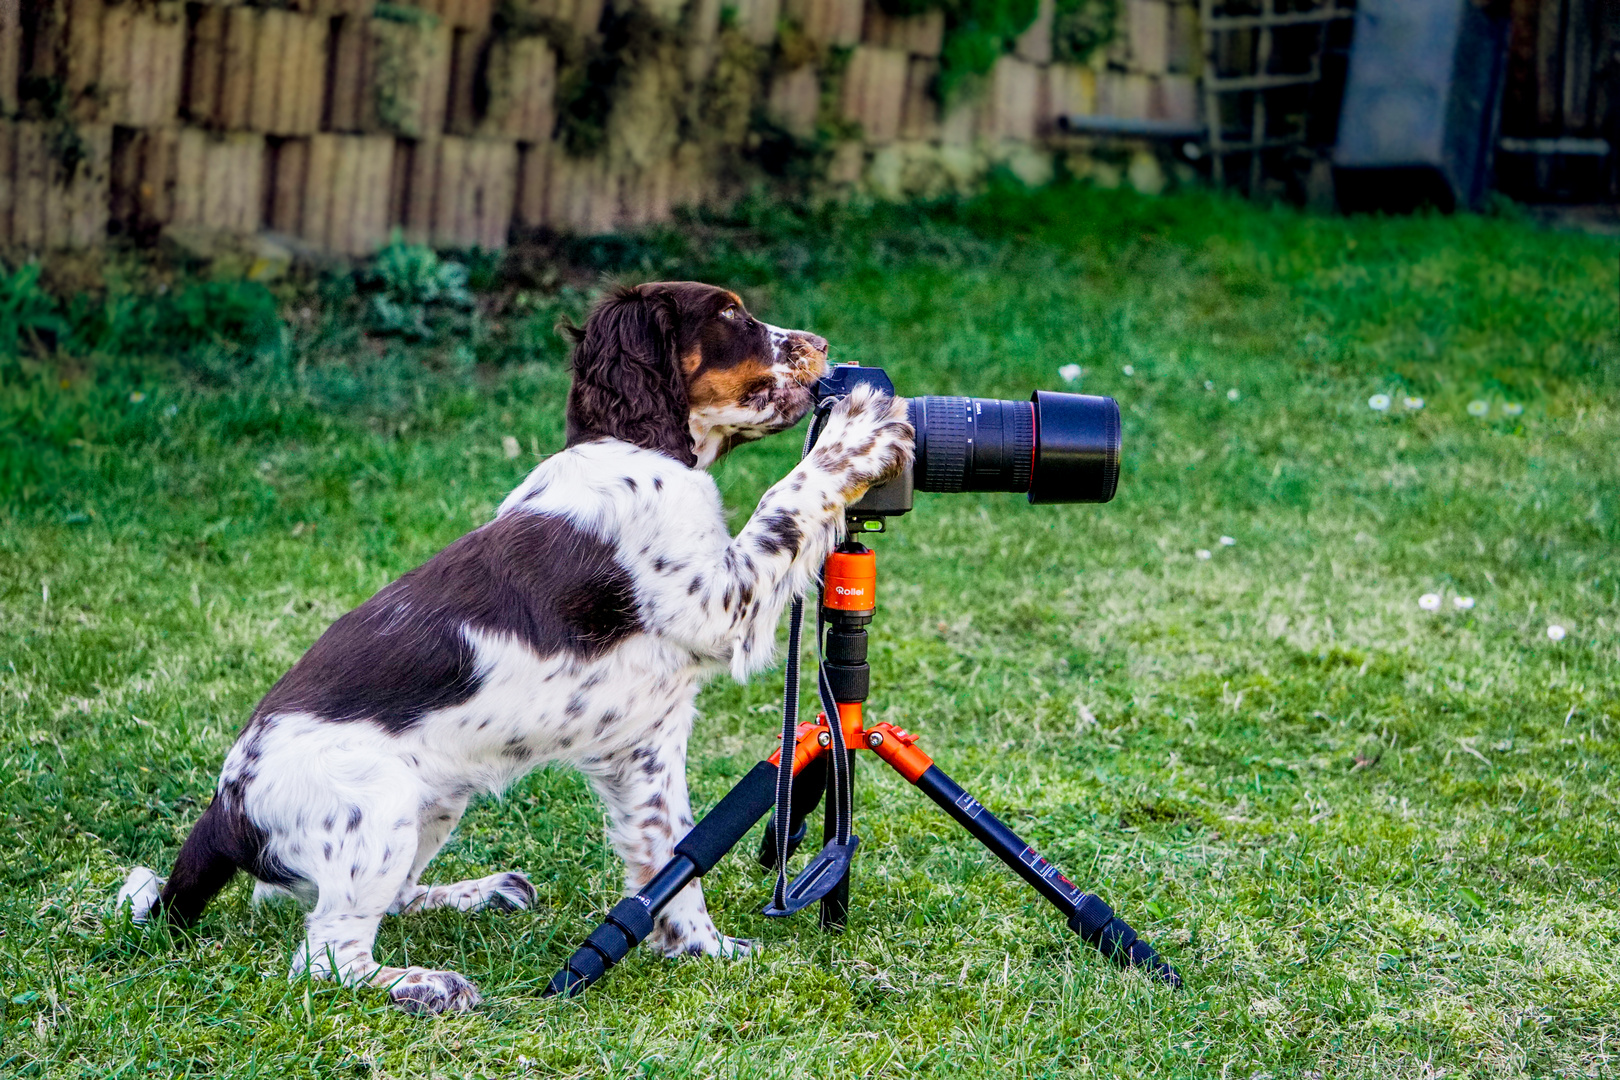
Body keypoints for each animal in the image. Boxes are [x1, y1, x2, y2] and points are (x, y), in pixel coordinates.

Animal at [117, 278, 913, 1016]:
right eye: (728, 315)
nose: (820, 343)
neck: (636, 448)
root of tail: (225, 809)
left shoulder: (643, 746)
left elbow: (672, 857)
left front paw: (702, 949)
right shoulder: (723, 602)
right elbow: (789, 496)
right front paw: (864, 430)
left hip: (432, 803)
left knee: (364, 901)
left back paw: (483, 893)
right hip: (377, 805)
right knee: (325, 955)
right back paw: (426, 985)